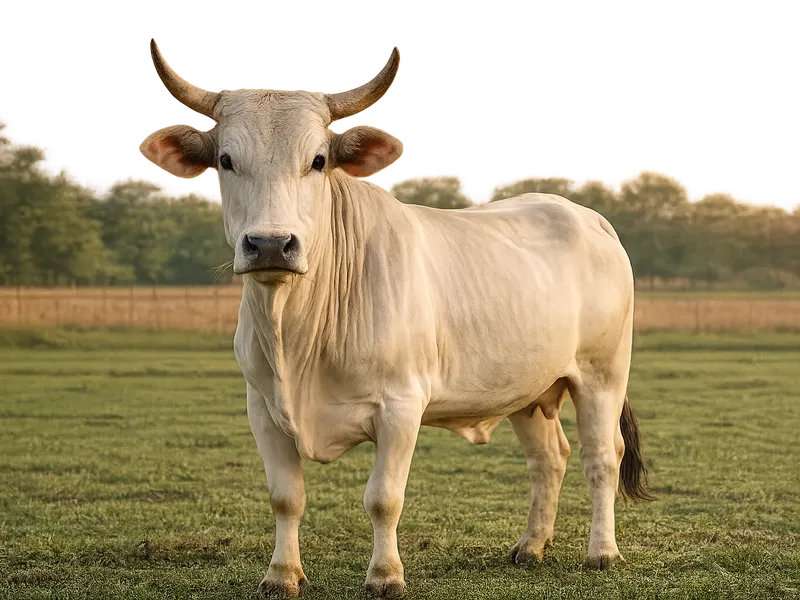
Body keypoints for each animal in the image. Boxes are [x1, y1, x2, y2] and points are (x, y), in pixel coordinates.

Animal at [137, 38, 655, 598]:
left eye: (318, 160)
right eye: (227, 160)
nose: (271, 244)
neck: (299, 337)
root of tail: (588, 216)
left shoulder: (401, 406)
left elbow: (383, 497)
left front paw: (385, 575)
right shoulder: (263, 409)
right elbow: (285, 496)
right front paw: (281, 574)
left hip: (602, 376)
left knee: (601, 457)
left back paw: (602, 552)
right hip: (530, 389)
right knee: (549, 458)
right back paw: (531, 546)